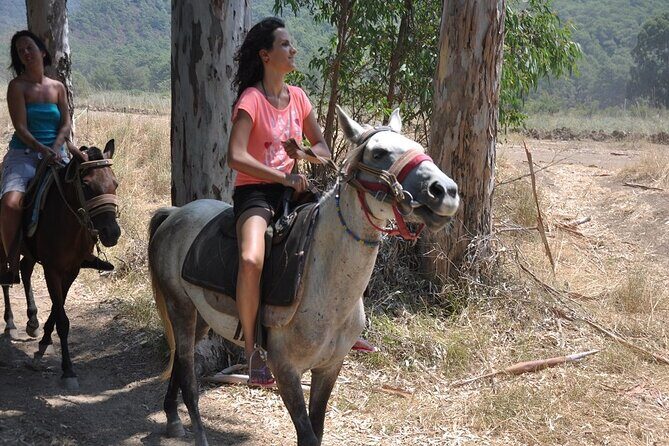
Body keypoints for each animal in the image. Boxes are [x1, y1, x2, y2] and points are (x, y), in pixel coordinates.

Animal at [1, 140, 120, 391]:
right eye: (86, 185)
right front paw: (68, 371)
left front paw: (44, 340)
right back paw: (10, 322)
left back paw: (32, 320)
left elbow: (58, 308)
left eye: (115, 183)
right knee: (6, 279)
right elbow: (63, 320)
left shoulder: (71, 269)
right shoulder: (52, 269)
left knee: (25, 269)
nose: (112, 233)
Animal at [148, 107, 460, 446]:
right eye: (378, 153)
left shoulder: (329, 368)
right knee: (188, 378)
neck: (324, 285)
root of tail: (175, 214)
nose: (445, 191)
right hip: (180, 308)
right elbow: (307, 435)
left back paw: (172, 418)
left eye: (418, 146)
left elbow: (317, 430)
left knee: (181, 364)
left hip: (200, 317)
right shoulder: (285, 371)